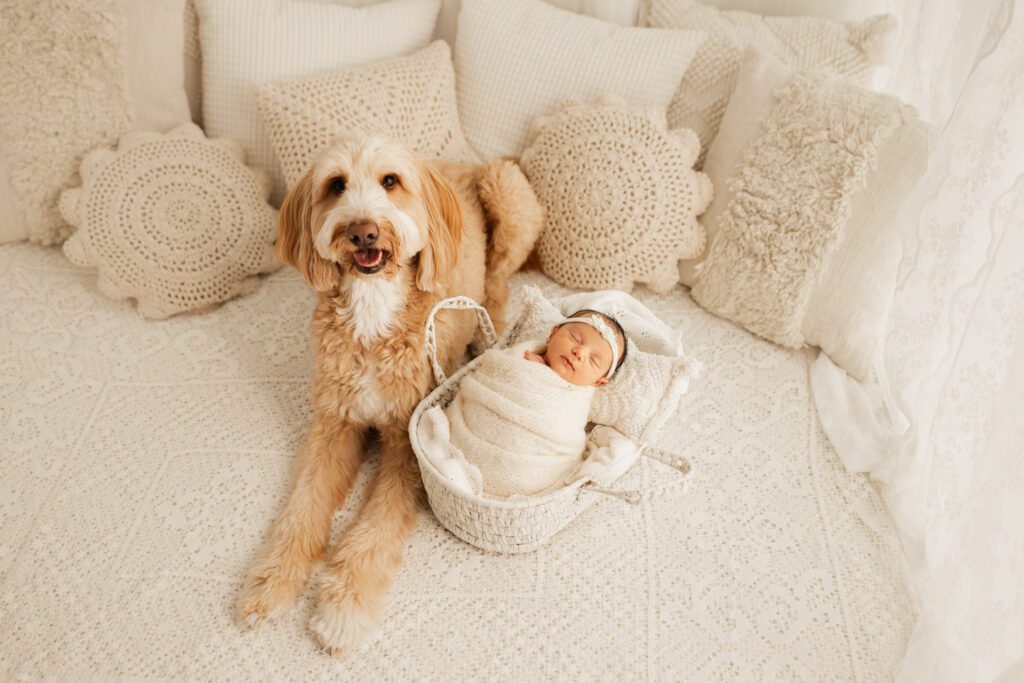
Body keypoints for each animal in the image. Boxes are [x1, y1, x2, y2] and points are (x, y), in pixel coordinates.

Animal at [238, 131, 544, 655]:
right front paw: (272, 581)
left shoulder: (406, 445)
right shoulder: (333, 427)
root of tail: (458, 163)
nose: (362, 232)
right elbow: (302, 508)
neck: (373, 305)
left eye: (390, 181)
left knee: (499, 280)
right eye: (336, 185)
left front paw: (343, 608)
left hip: (510, 199)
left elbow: (375, 528)